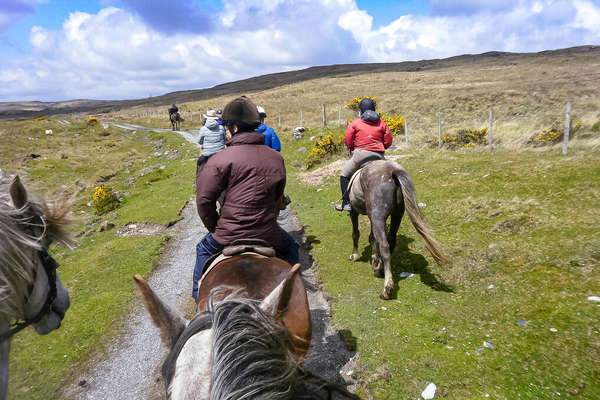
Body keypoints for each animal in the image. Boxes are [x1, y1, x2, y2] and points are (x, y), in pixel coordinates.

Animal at [346, 159, 450, 300]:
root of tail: (392, 171)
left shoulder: (354, 212)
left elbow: (356, 233)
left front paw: (355, 255)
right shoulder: (371, 217)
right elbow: (372, 238)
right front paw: (374, 260)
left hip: (378, 216)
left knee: (384, 246)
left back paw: (387, 288)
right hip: (396, 215)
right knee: (390, 241)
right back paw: (380, 269)